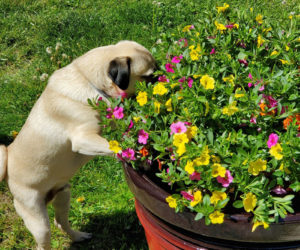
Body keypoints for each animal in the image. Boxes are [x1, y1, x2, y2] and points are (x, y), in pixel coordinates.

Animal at [0, 40, 157, 249]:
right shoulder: (84, 139)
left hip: (63, 194)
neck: (88, 79)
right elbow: (113, 147)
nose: (160, 77)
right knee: (44, 238)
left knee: (61, 222)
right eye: (148, 76)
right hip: (37, 217)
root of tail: (8, 165)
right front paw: (137, 156)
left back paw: (78, 236)